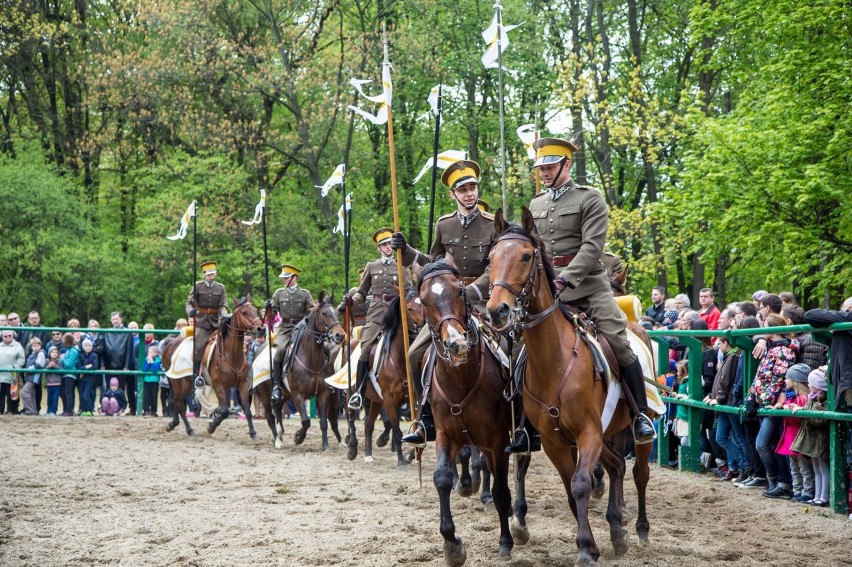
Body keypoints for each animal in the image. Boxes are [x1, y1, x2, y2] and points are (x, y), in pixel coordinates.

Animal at [162, 300, 262, 442]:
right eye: (244, 312)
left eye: (255, 310)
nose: (260, 328)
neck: (230, 355)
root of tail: (170, 343)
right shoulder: (219, 385)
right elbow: (225, 411)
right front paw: (211, 427)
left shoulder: (242, 384)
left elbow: (247, 410)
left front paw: (253, 433)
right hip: (176, 382)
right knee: (179, 404)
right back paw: (189, 430)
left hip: (185, 384)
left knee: (176, 401)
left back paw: (173, 424)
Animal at [270, 292, 342, 452]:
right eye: (324, 313)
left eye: (337, 312)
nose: (340, 335)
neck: (312, 360)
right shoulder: (298, 395)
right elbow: (305, 421)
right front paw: (298, 437)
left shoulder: (323, 394)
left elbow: (323, 422)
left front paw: (325, 445)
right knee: (272, 410)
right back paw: (277, 439)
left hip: (286, 394)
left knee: (278, 407)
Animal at [418, 255, 528, 564]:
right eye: (424, 300)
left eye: (459, 291)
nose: (456, 344)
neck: (460, 378)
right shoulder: (445, 435)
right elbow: (442, 478)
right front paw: (452, 545)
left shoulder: (498, 439)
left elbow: (501, 489)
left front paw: (505, 542)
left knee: (519, 468)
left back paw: (519, 521)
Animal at [482, 209, 648, 567]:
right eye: (491, 259)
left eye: (526, 256)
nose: (497, 310)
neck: (555, 361)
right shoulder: (554, 441)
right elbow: (571, 488)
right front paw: (592, 544)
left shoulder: (588, 432)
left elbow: (581, 483)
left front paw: (585, 548)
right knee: (616, 465)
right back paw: (617, 531)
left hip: (635, 428)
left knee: (639, 472)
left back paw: (640, 528)